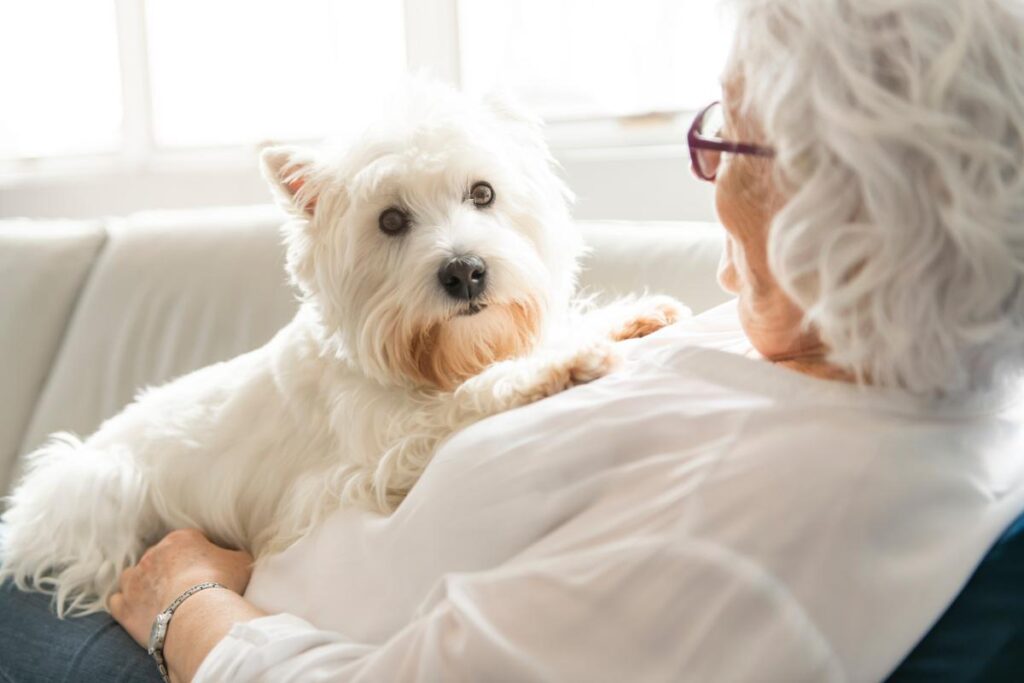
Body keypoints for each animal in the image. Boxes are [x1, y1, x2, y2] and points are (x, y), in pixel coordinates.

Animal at [2, 82, 688, 618]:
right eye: (390, 221)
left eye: (483, 193)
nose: (465, 272)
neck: (424, 360)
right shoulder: (362, 467)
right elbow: (463, 400)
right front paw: (558, 364)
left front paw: (626, 317)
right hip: (97, 487)